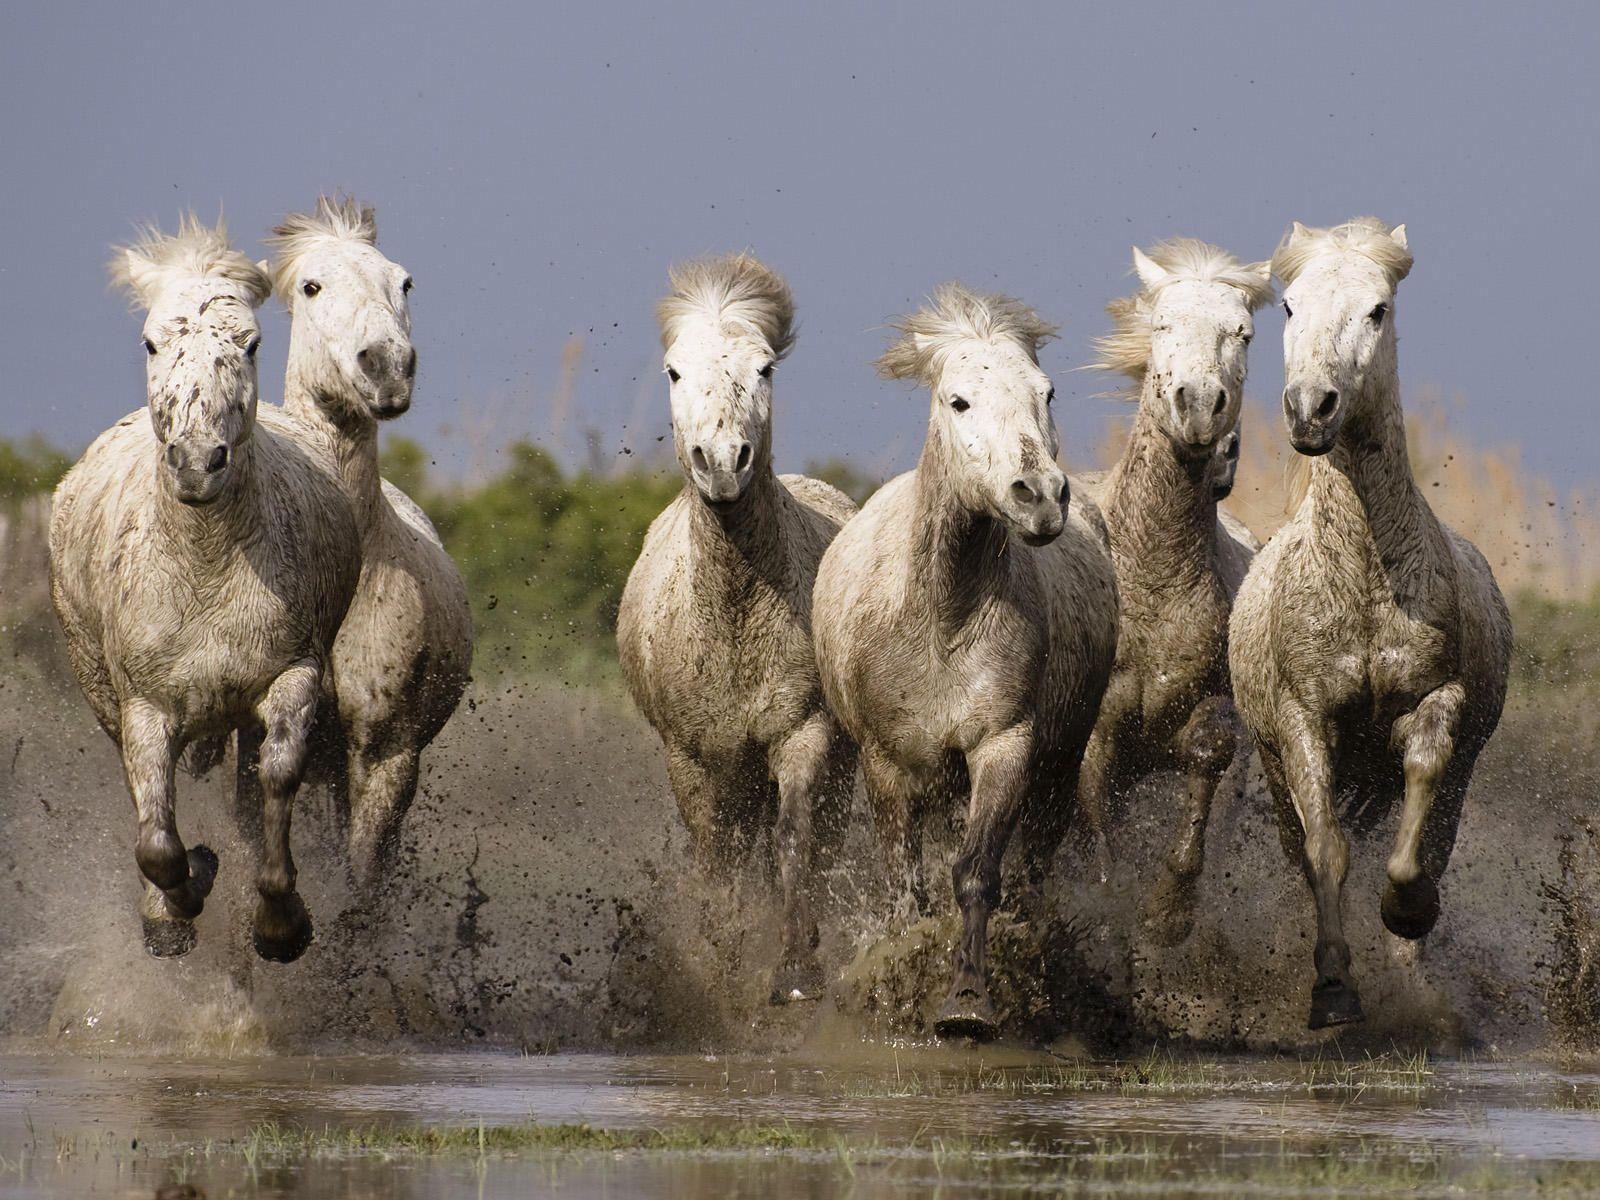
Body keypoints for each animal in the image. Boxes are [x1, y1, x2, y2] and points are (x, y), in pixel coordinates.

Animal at [53, 220, 363, 966]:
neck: (204, 564)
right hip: (102, 691)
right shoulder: (145, 708)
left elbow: (278, 778)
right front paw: (179, 902)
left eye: (249, 344)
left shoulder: (292, 676)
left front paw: (281, 923)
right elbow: (157, 841)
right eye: (151, 342)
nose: (198, 462)